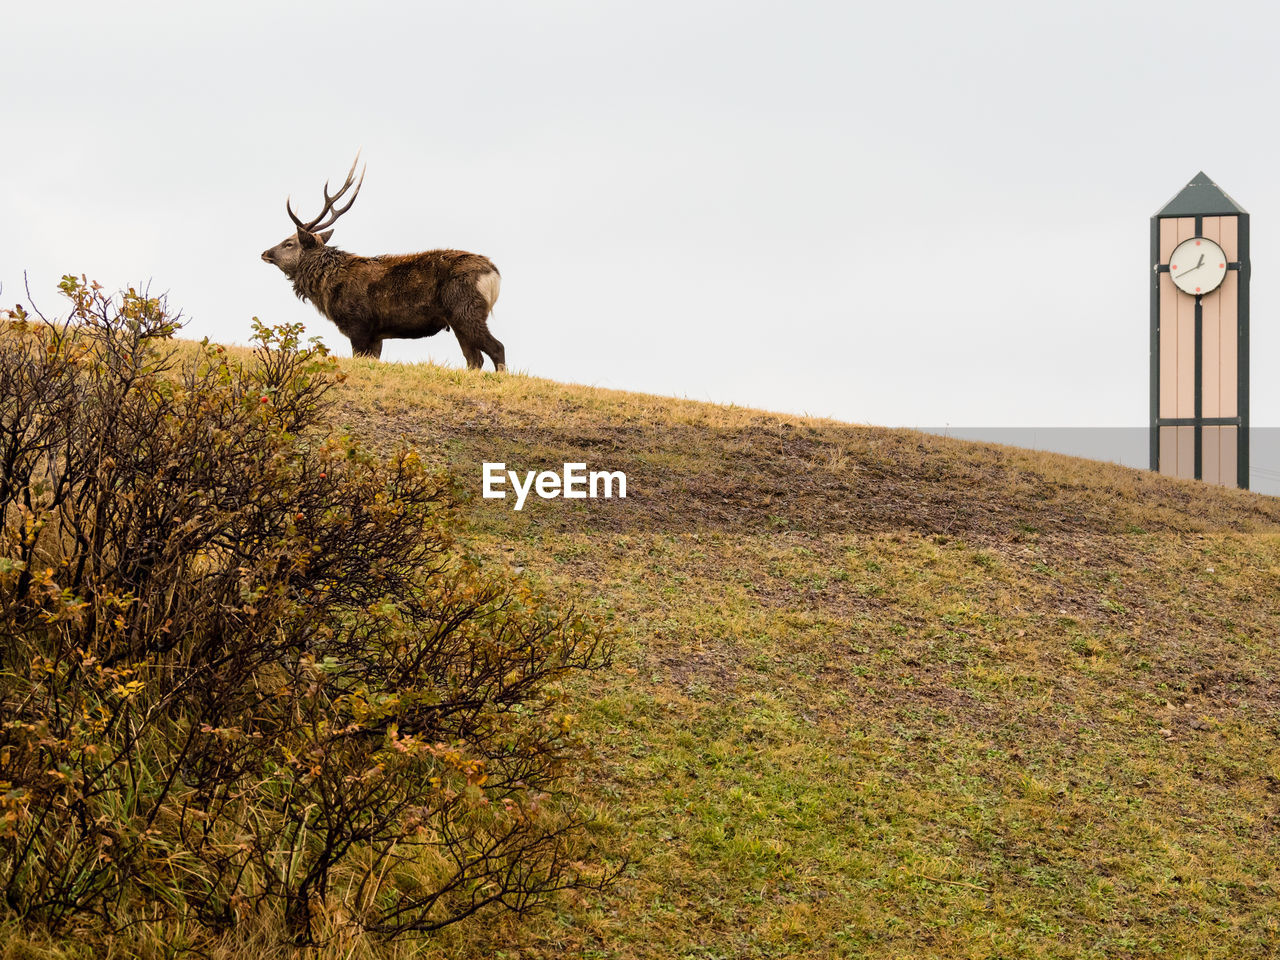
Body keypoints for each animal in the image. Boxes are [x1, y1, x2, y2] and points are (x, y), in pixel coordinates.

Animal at [259, 156, 504, 371]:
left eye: (289, 243)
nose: (265, 253)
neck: (327, 288)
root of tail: (494, 274)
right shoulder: (376, 334)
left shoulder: (358, 325)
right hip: (456, 319)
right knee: (474, 359)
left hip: (466, 309)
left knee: (497, 348)